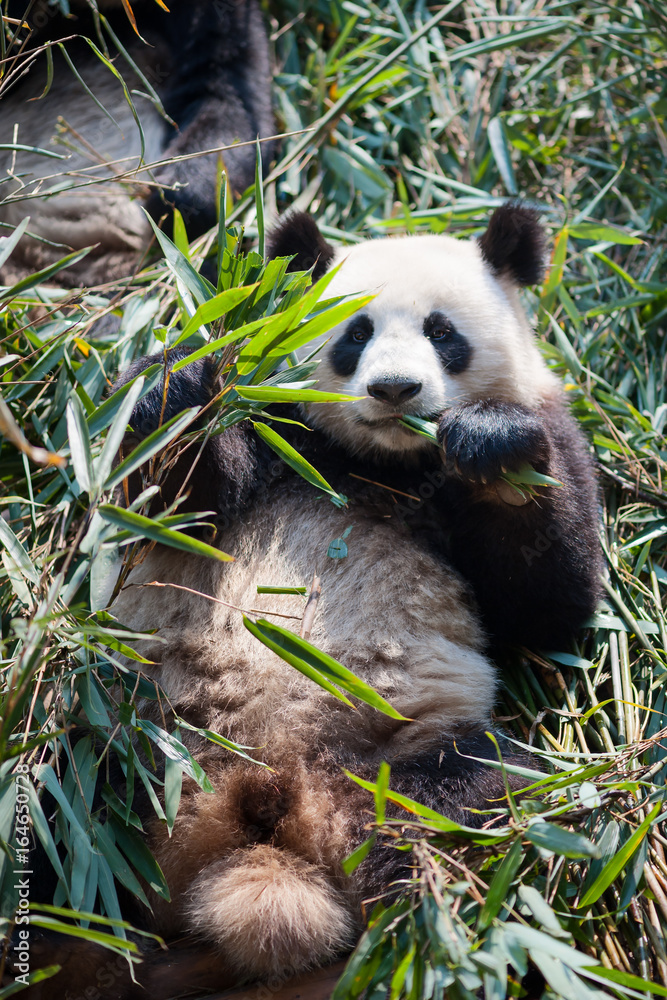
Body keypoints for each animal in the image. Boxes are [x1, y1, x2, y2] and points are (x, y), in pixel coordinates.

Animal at [13, 205, 601, 1000]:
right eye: (353, 334)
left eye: (441, 332)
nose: (394, 390)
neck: (381, 462)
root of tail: (270, 800)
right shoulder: (276, 435)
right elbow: (169, 497)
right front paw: (185, 374)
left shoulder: (552, 434)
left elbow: (549, 605)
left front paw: (490, 446)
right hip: (138, 738)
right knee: (61, 817)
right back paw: (72, 949)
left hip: (399, 759)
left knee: (474, 807)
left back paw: (412, 939)